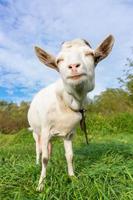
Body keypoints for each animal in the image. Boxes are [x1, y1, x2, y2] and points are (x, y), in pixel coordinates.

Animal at [27, 35, 114, 191]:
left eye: (90, 54)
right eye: (59, 60)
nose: (73, 66)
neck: (66, 101)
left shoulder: (69, 133)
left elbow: (70, 156)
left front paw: (73, 178)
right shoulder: (45, 129)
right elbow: (44, 158)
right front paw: (41, 185)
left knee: (49, 148)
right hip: (36, 133)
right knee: (39, 149)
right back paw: (37, 163)